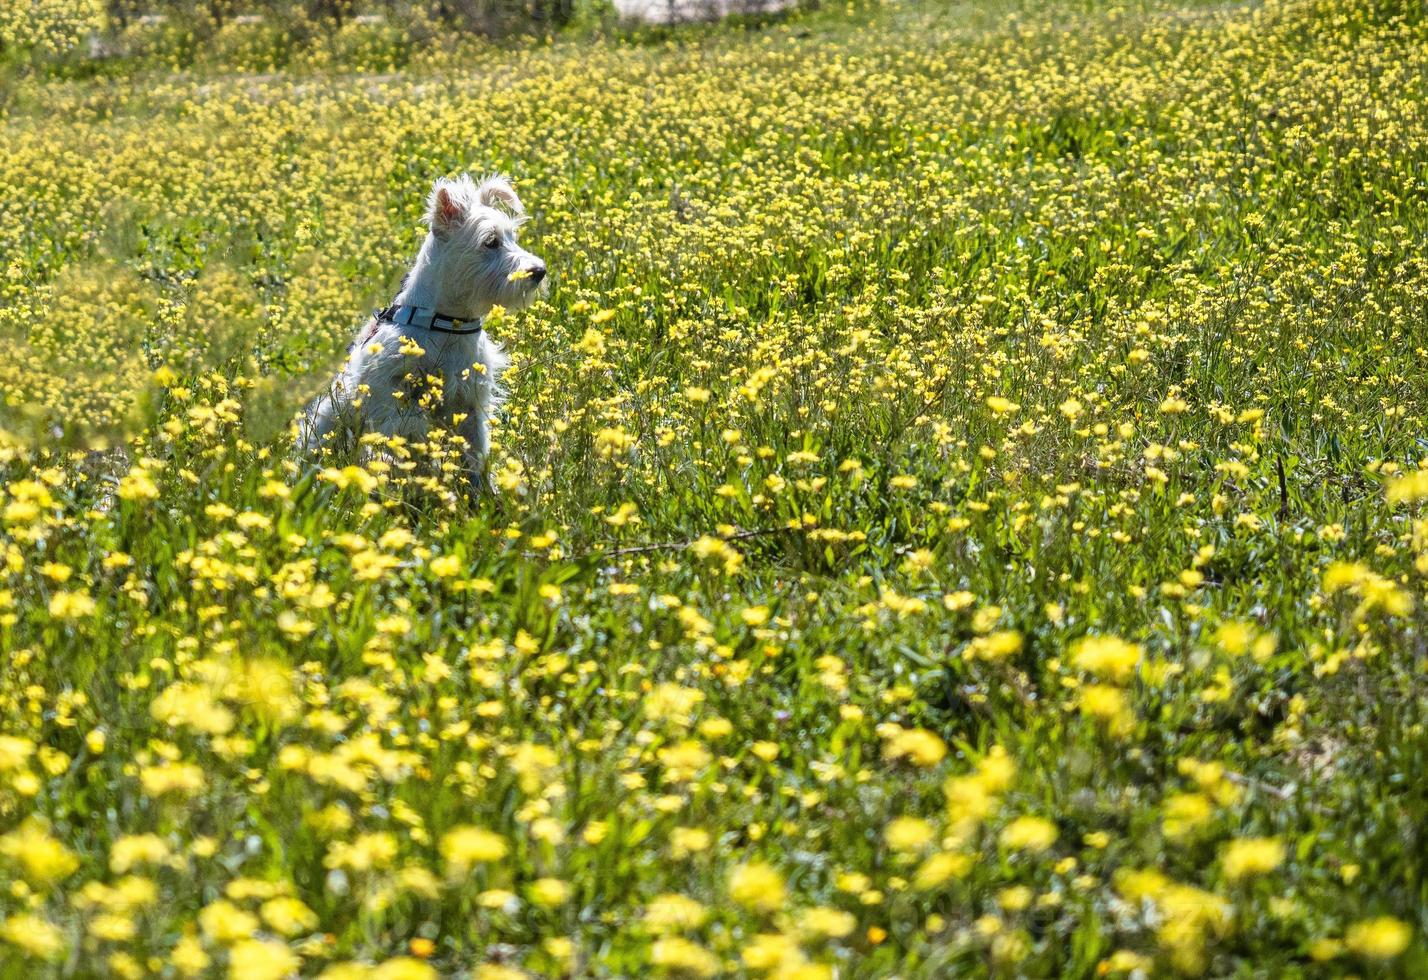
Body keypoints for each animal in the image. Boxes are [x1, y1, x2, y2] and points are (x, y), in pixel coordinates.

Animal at [301, 175, 545, 491]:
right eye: (491, 242)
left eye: (513, 237)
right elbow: (410, 432)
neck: (447, 323)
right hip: (325, 421)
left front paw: (483, 494)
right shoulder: (393, 399)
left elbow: (476, 455)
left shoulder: (471, 404)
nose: (539, 271)